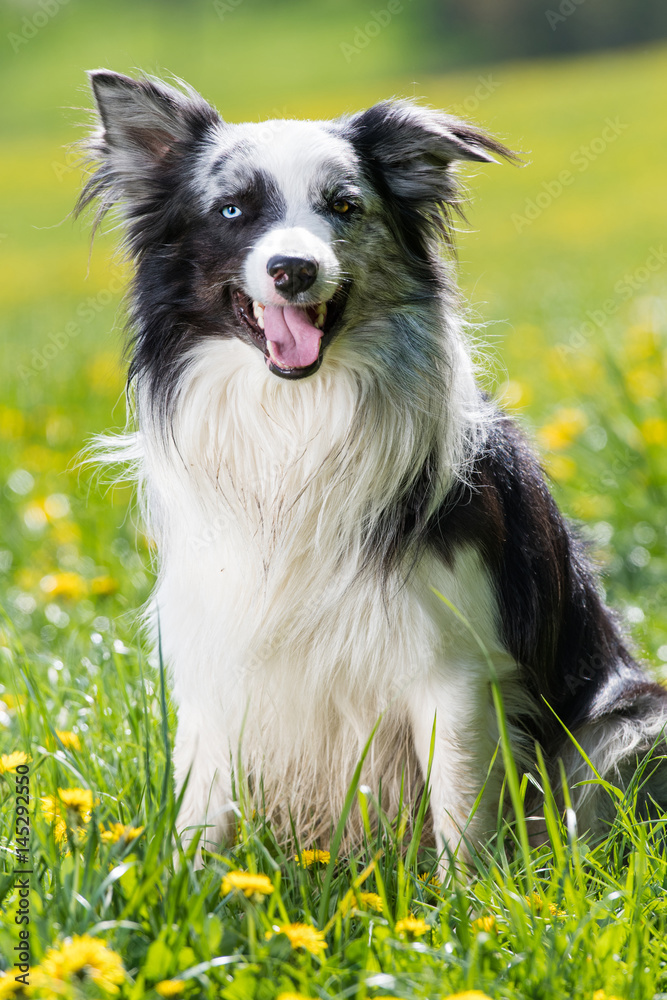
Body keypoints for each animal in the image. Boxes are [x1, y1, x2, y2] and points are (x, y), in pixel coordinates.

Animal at [79, 70, 667, 868]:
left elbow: (462, 819)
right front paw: (181, 887)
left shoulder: (453, 667)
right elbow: (198, 814)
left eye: (344, 207)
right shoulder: (217, 656)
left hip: (633, 721)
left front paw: (470, 900)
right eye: (232, 211)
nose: (293, 270)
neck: (294, 420)